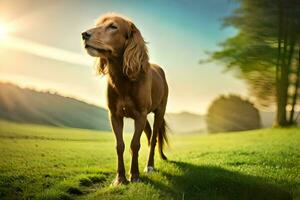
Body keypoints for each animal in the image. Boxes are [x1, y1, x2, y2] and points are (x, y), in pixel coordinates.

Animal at [81, 12, 169, 184]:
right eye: (97, 24)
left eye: (113, 26)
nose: (84, 34)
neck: (122, 79)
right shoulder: (115, 115)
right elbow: (119, 145)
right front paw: (120, 178)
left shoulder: (140, 114)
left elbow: (135, 144)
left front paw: (134, 175)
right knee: (149, 136)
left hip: (159, 111)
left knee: (154, 138)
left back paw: (150, 166)